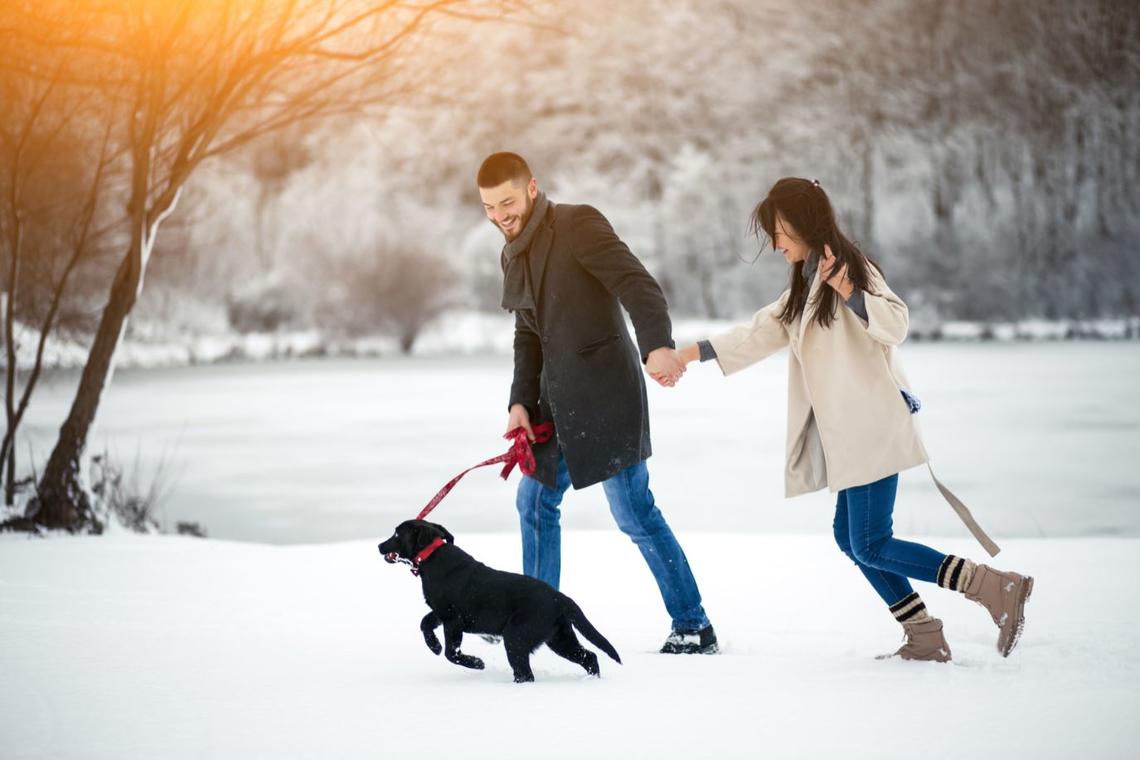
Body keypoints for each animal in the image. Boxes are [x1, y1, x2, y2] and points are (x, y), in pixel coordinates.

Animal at [378, 519, 620, 679]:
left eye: (397, 534)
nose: (380, 545)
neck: (432, 557)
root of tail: (558, 597)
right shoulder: (440, 612)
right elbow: (424, 623)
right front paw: (434, 646)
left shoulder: (453, 620)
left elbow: (451, 653)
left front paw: (476, 663)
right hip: (559, 637)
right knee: (589, 656)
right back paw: (591, 680)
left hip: (516, 636)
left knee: (526, 673)